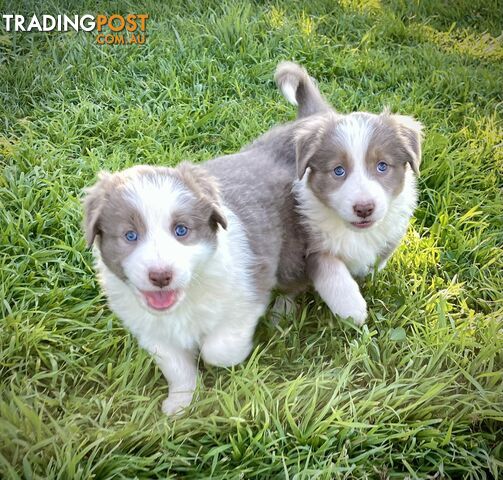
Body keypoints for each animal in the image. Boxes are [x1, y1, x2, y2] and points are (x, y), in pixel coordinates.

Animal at [274, 62, 424, 324]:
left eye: (382, 166)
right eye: (338, 170)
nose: (364, 208)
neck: (355, 232)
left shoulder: (391, 235)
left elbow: (375, 261)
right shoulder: (310, 242)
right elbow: (330, 269)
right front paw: (352, 309)